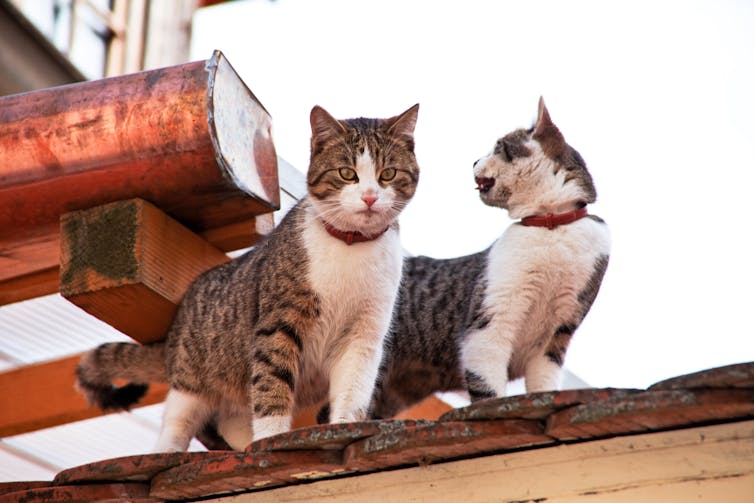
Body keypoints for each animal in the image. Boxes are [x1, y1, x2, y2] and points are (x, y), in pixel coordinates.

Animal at [76, 104, 420, 450]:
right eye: (347, 173)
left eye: (388, 174)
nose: (369, 197)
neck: (351, 246)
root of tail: (172, 336)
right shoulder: (278, 323)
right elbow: (272, 384)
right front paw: (272, 438)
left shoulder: (364, 334)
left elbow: (353, 388)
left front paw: (345, 426)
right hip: (192, 379)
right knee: (178, 423)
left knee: (233, 420)